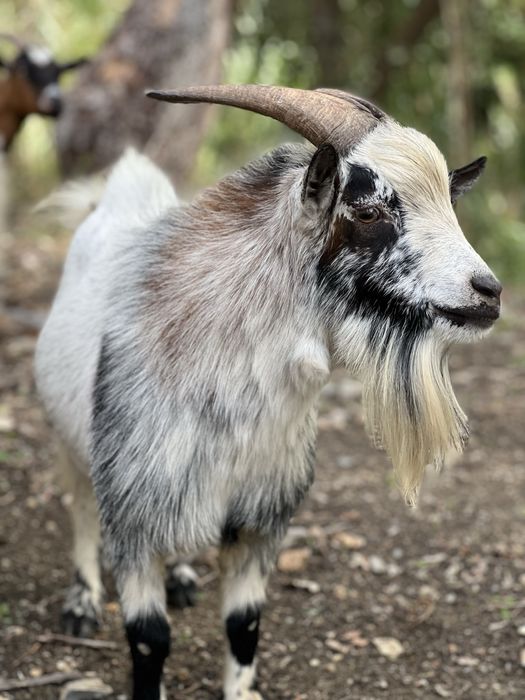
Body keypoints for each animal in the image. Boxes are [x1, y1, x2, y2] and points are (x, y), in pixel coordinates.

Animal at [34, 84, 501, 700]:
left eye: (449, 204)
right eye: (368, 209)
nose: (489, 291)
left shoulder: (260, 519)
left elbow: (245, 625)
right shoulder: (133, 514)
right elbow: (149, 639)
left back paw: (181, 576)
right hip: (71, 445)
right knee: (82, 510)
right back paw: (82, 602)